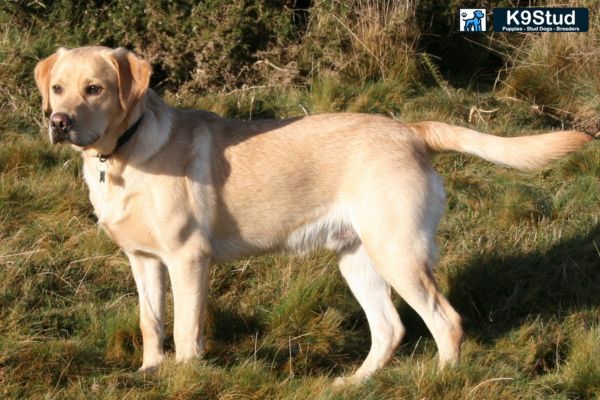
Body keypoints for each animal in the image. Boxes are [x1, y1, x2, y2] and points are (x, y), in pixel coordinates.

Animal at [36, 45, 592, 382]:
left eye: (95, 88)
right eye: (58, 88)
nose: (58, 122)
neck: (121, 156)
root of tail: (411, 129)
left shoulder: (188, 259)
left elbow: (188, 332)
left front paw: (186, 379)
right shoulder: (144, 260)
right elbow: (152, 323)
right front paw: (151, 374)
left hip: (398, 253)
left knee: (445, 321)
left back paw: (442, 380)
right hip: (358, 259)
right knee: (389, 328)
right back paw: (356, 382)